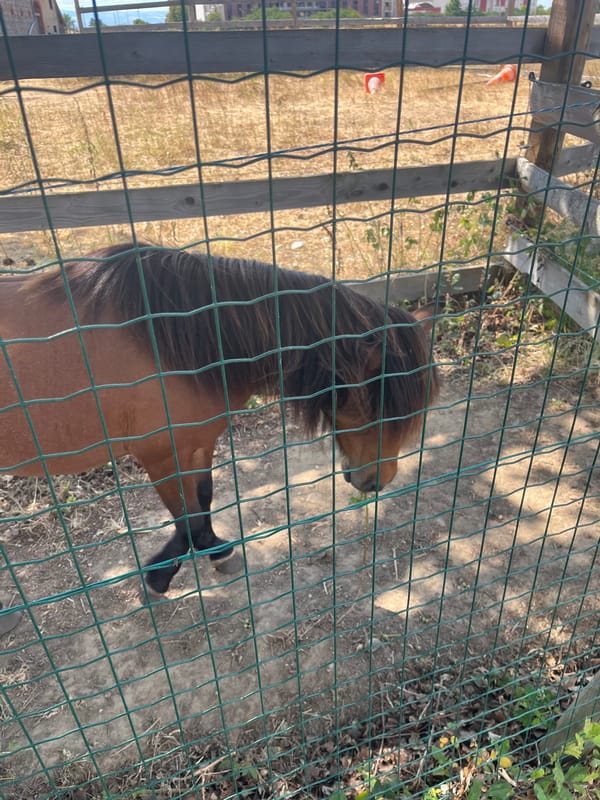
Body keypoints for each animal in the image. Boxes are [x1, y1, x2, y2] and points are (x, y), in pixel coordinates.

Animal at [0, 243, 439, 596]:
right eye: (374, 403)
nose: (376, 481)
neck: (171, 339)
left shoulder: (199, 443)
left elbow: (203, 499)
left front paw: (213, 550)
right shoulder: (160, 455)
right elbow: (186, 517)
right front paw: (160, 575)